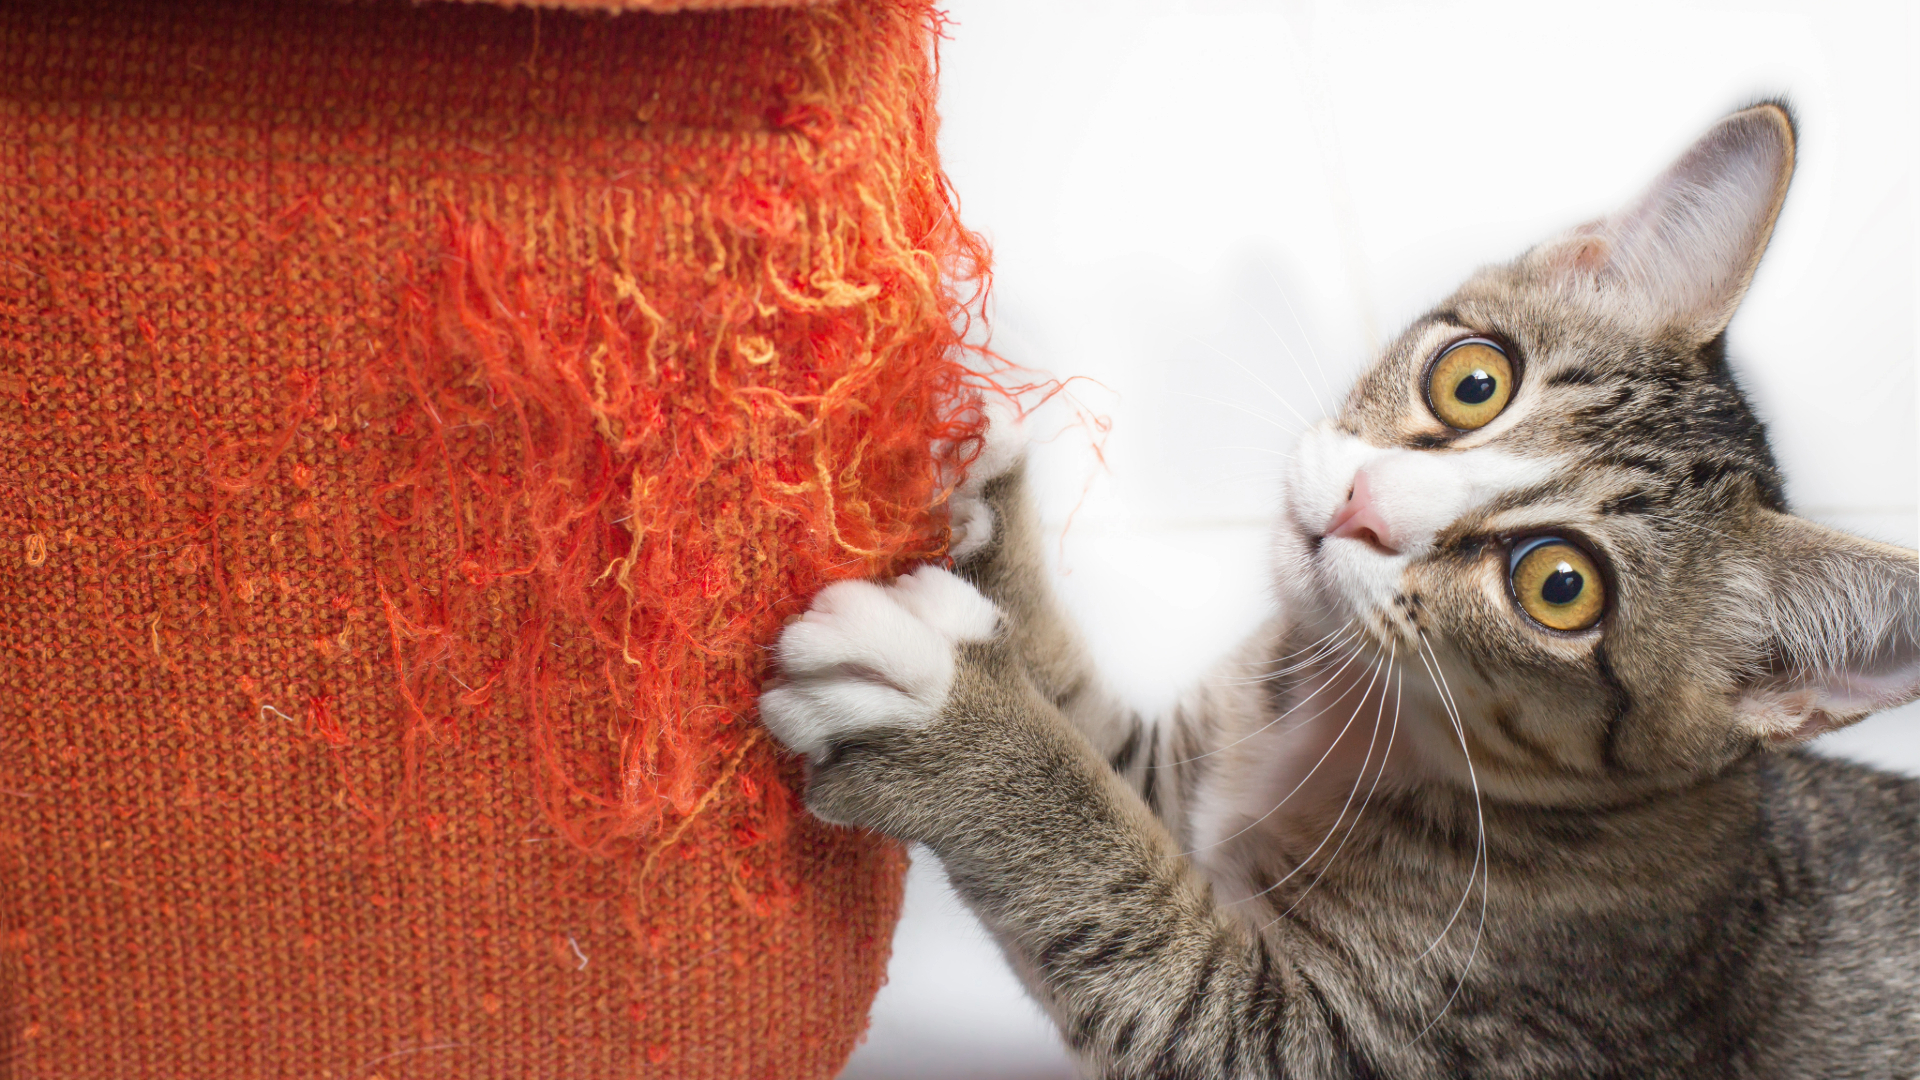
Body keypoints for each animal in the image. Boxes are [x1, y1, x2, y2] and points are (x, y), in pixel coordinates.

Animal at [752, 102, 1920, 1076]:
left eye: (1558, 585)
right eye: (1473, 378)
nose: (1365, 504)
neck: (1346, 715)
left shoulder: (1351, 1040)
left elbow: (1139, 925)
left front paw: (956, 718)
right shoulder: (1189, 769)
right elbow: (1108, 748)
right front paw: (970, 474)